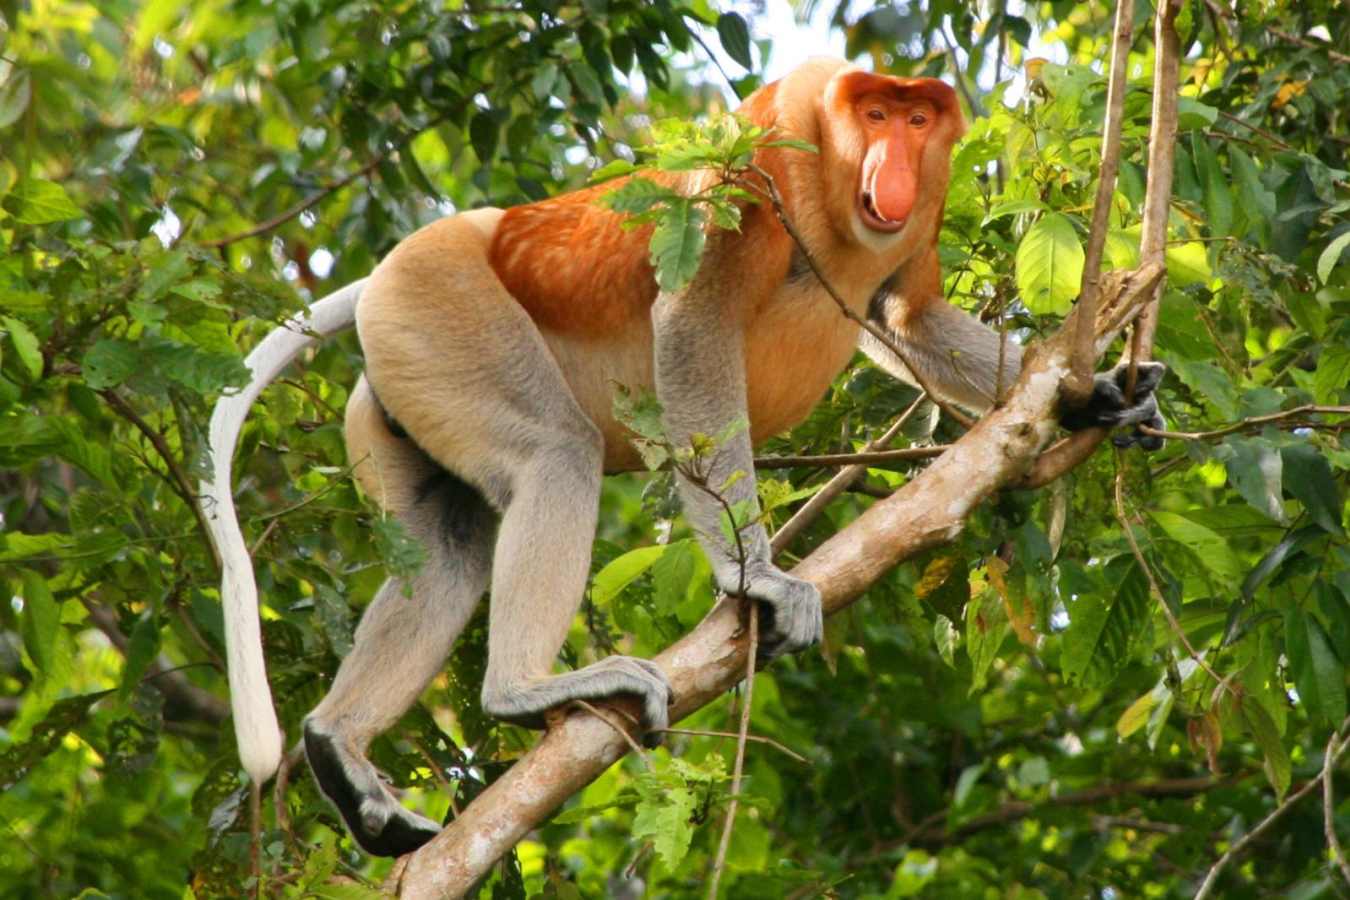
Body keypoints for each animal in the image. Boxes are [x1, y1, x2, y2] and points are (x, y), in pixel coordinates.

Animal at [201, 57, 1164, 858]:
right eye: (877, 112)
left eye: (920, 120)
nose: (894, 155)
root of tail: (392, 273)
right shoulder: (757, 165)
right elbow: (694, 330)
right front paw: (757, 576)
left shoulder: (924, 210)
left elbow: (908, 316)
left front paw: (1096, 397)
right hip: (443, 306)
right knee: (556, 455)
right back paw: (523, 689)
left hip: (403, 382)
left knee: (446, 545)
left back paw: (339, 750)